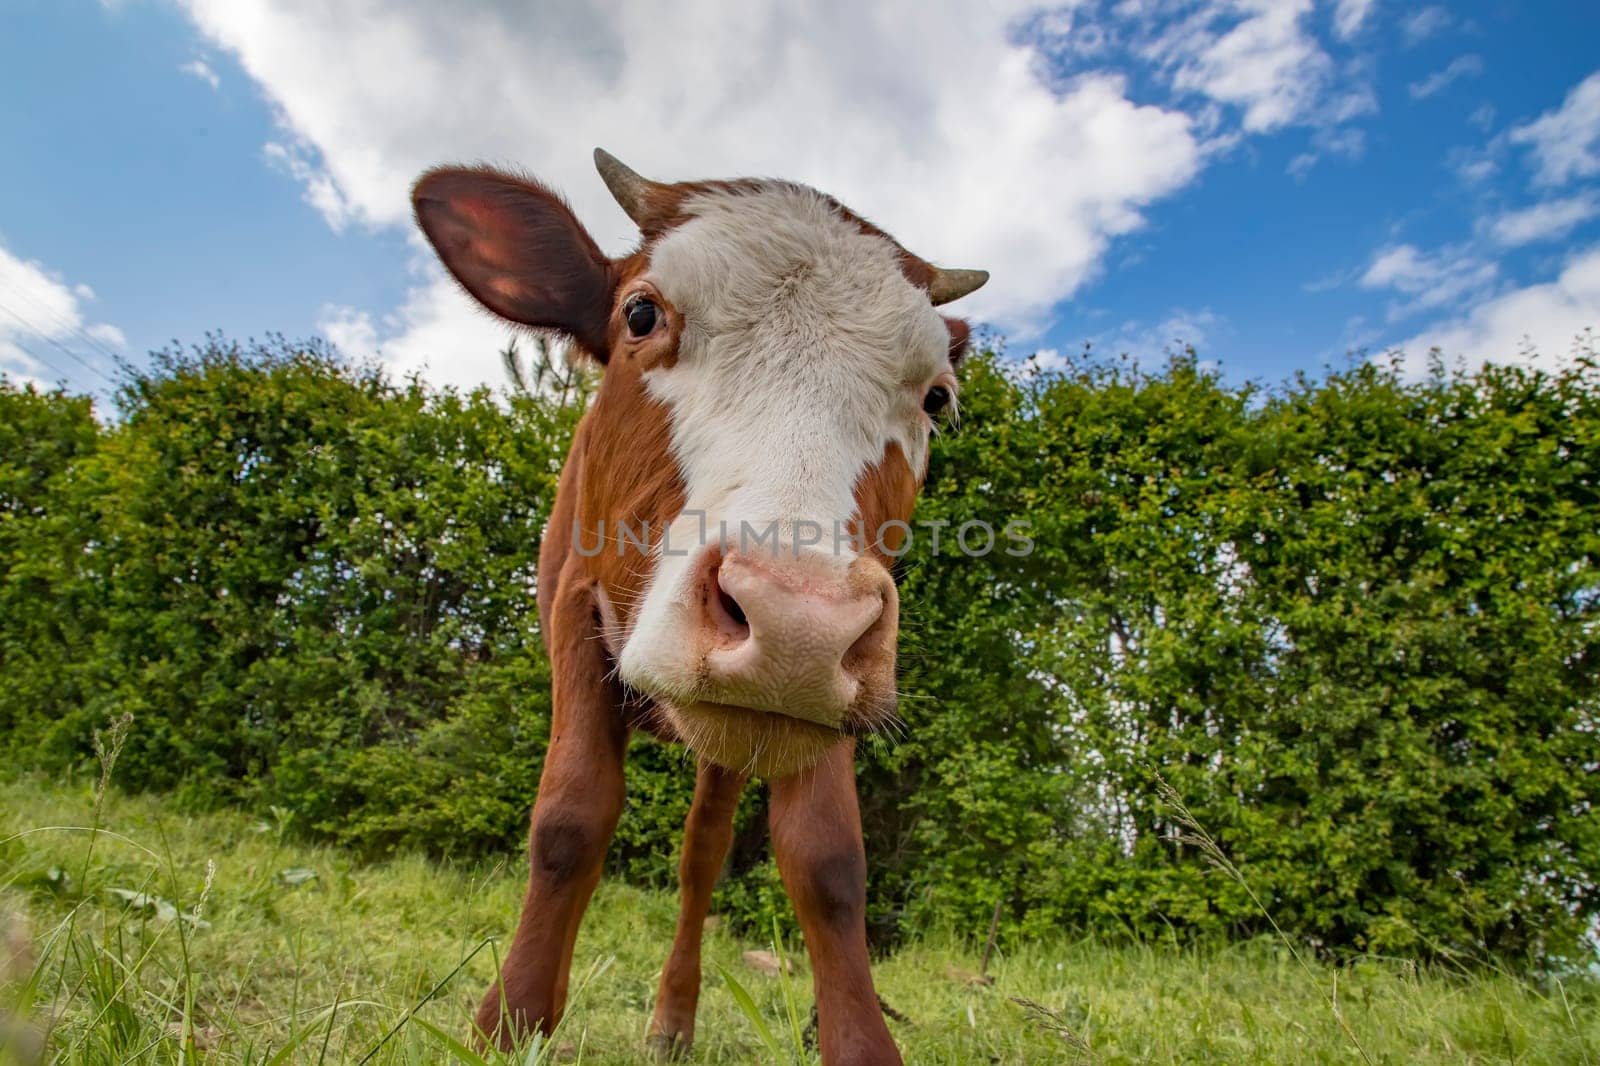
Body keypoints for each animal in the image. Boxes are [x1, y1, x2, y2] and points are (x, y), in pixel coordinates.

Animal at [409, 149, 985, 1062]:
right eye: (641, 313)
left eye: (935, 398)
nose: (796, 621)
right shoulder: (573, 611)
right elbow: (570, 815)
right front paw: (511, 1021)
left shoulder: (835, 688)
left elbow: (829, 861)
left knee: (701, 853)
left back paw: (674, 1024)